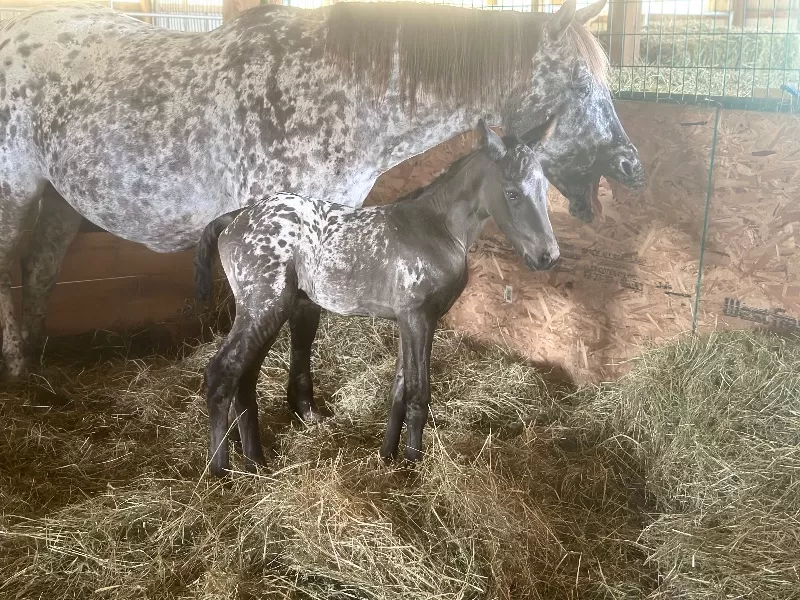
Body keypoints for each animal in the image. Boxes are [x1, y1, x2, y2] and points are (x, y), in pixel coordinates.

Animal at [0, 0, 644, 382]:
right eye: (583, 84)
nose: (631, 165)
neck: (337, 93)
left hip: (60, 200)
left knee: (40, 271)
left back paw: (35, 362)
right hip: (15, 195)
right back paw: (15, 365)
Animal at [198, 119, 560, 476]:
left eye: (544, 189)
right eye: (512, 193)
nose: (548, 256)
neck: (436, 228)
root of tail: (235, 218)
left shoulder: (408, 320)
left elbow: (399, 390)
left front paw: (388, 456)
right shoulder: (418, 318)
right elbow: (418, 393)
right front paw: (413, 467)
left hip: (268, 312)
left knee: (244, 381)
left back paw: (255, 463)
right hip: (264, 308)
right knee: (222, 374)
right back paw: (221, 472)